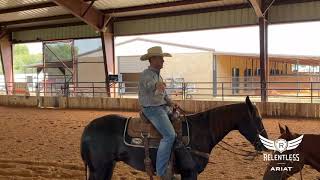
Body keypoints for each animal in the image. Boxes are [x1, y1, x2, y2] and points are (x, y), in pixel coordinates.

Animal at [80, 96, 268, 179]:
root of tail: (87, 129)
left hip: (107, 167)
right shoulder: (189, 172)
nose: (265, 145)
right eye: (257, 118)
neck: (201, 131)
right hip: (99, 169)